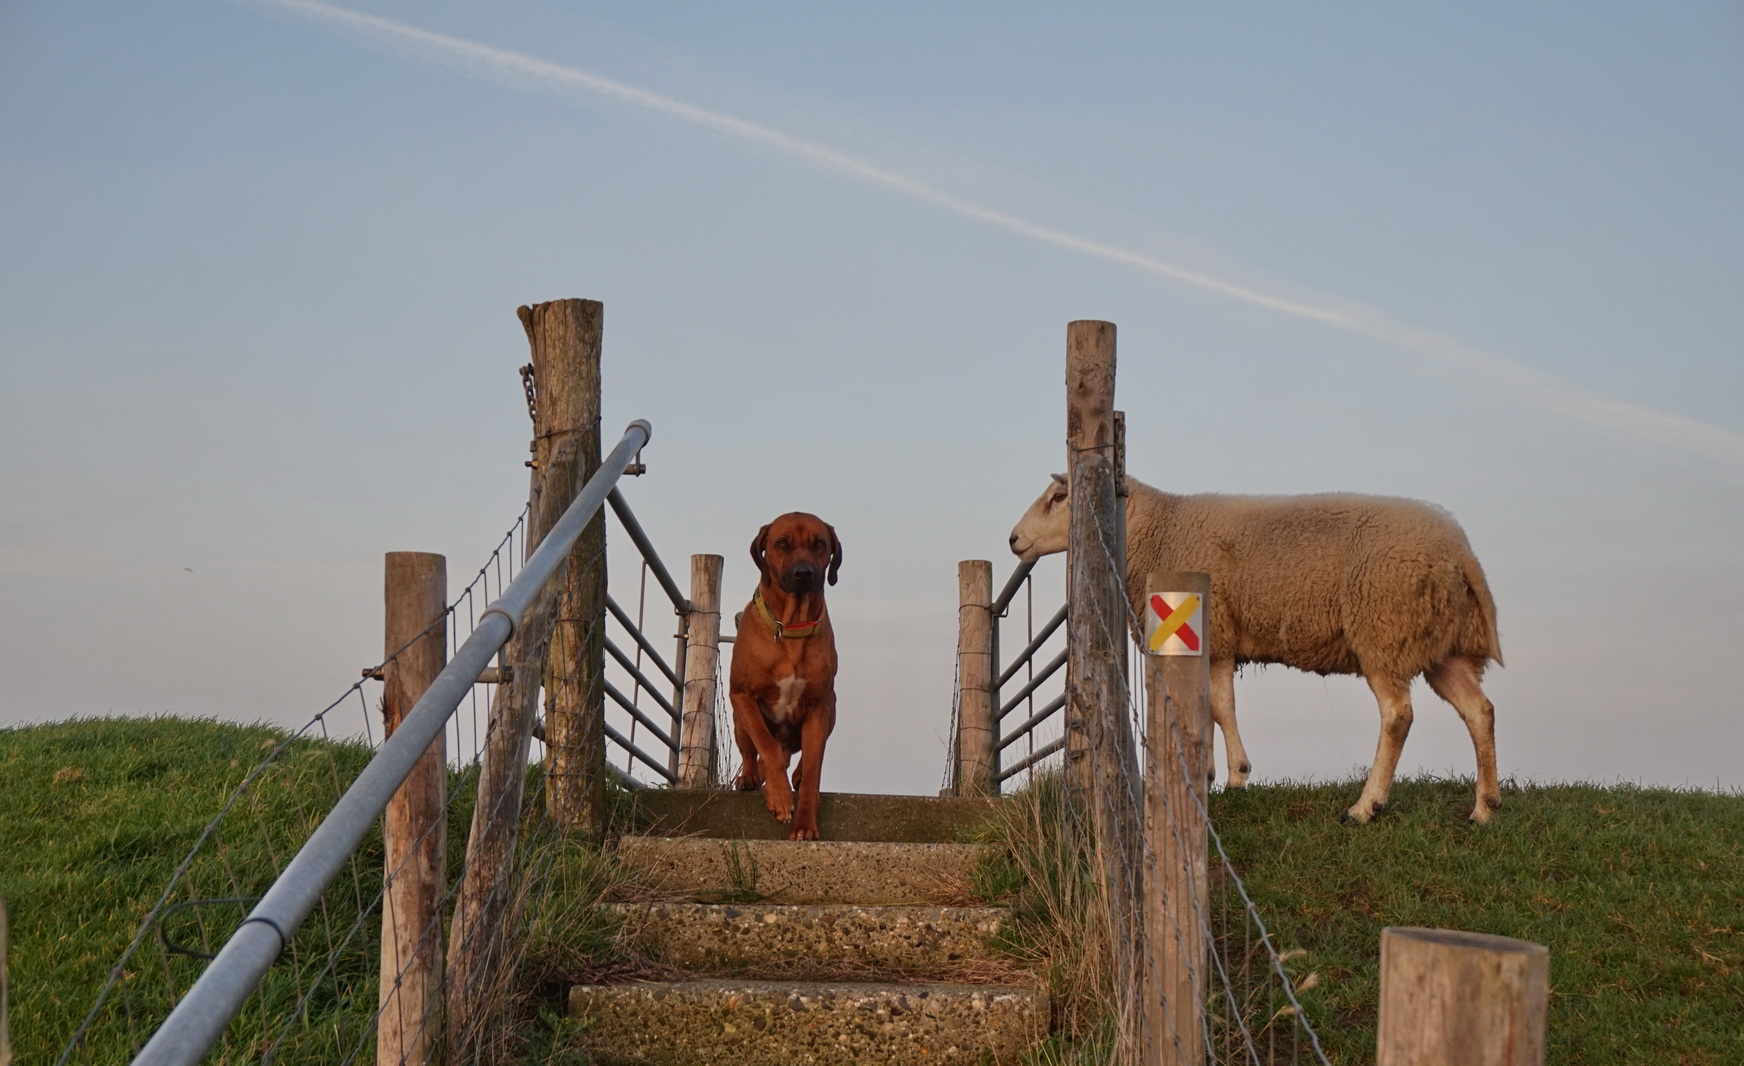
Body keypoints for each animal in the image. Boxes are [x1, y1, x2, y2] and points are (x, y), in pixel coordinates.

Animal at [725, 512, 840, 837]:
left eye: (819, 543)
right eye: (782, 543)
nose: (804, 574)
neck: (791, 627)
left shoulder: (819, 705)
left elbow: (814, 768)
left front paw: (805, 825)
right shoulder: (742, 695)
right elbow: (768, 747)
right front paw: (779, 798)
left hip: (833, 709)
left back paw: (796, 775)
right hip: (738, 720)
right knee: (752, 751)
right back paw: (750, 777)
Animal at [1018, 474, 1506, 826]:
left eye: (1059, 496)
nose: (1013, 540)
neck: (1157, 529)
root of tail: (1461, 551)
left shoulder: (1214, 630)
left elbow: (1220, 707)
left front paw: (1236, 776)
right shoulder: (1215, 641)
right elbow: (1208, 707)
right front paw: (1208, 774)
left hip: (1382, 628)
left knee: (1398, 716)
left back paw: (1365, 807)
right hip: (1443, 647)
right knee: (1479, 711)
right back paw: (1484, 807)